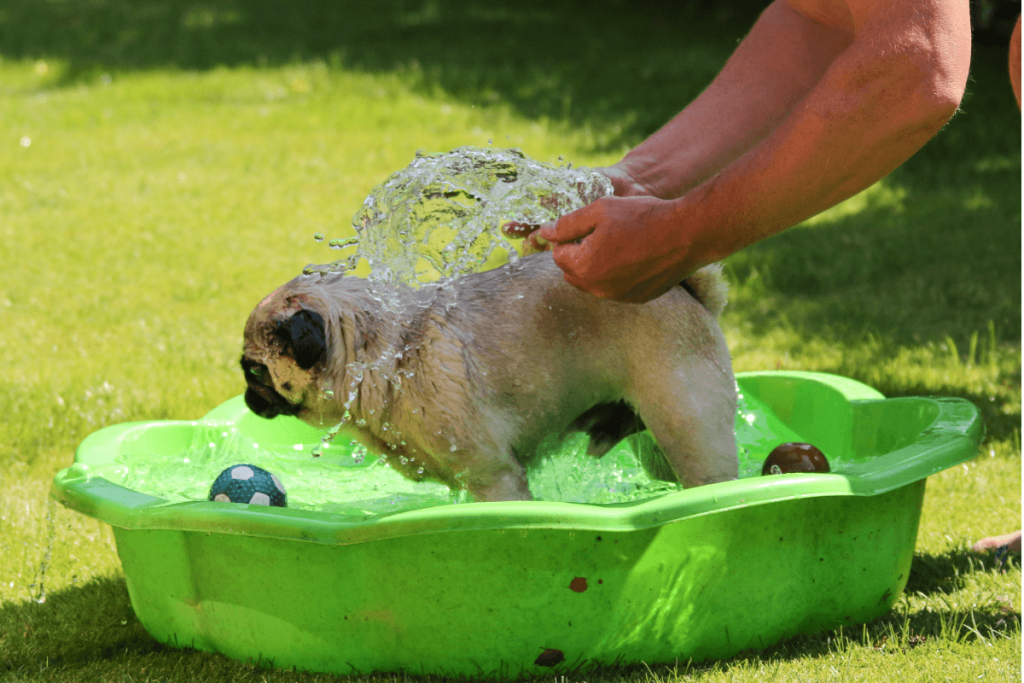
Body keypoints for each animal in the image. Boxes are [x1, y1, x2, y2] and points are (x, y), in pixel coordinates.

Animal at [239, 252, 737, 501]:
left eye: (253, 369)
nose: (247, 397)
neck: (381, 354)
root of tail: (686, 292)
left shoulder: (494, 479)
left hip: (691, 433)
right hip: (656, 448)